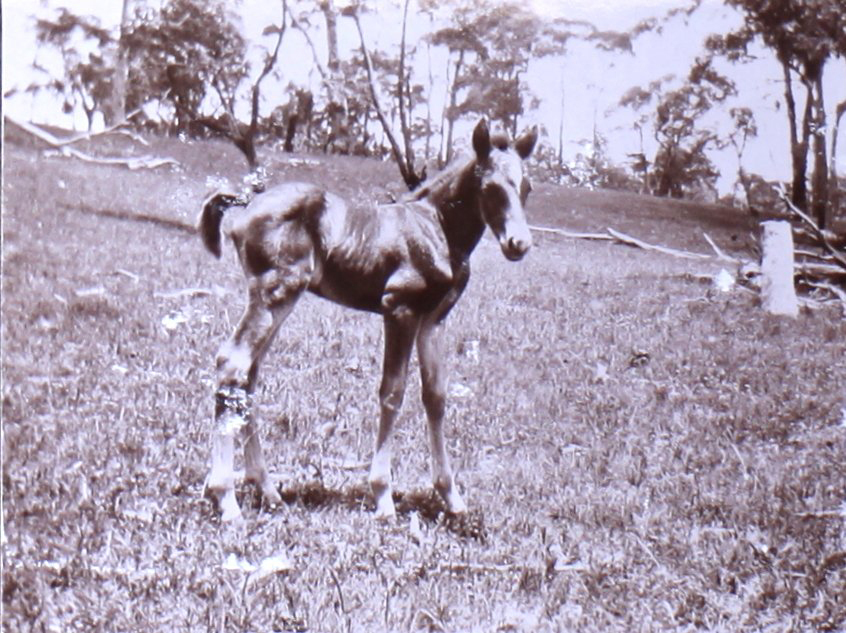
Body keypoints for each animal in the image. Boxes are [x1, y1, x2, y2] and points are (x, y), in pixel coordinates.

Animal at [200, 119, 538, 522]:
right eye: (489, 186)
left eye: (527, 186)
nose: (519, 244)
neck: (436, 227)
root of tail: (247, 204)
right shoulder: (399, 308)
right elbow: (392, 392)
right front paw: (383, 497)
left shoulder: (433, 320)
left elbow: (435, 395)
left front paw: (452, 498)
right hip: (275, 293)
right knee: (231, 363)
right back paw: (225, 498)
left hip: (280, 300)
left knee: (248, 375)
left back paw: (267, 490)